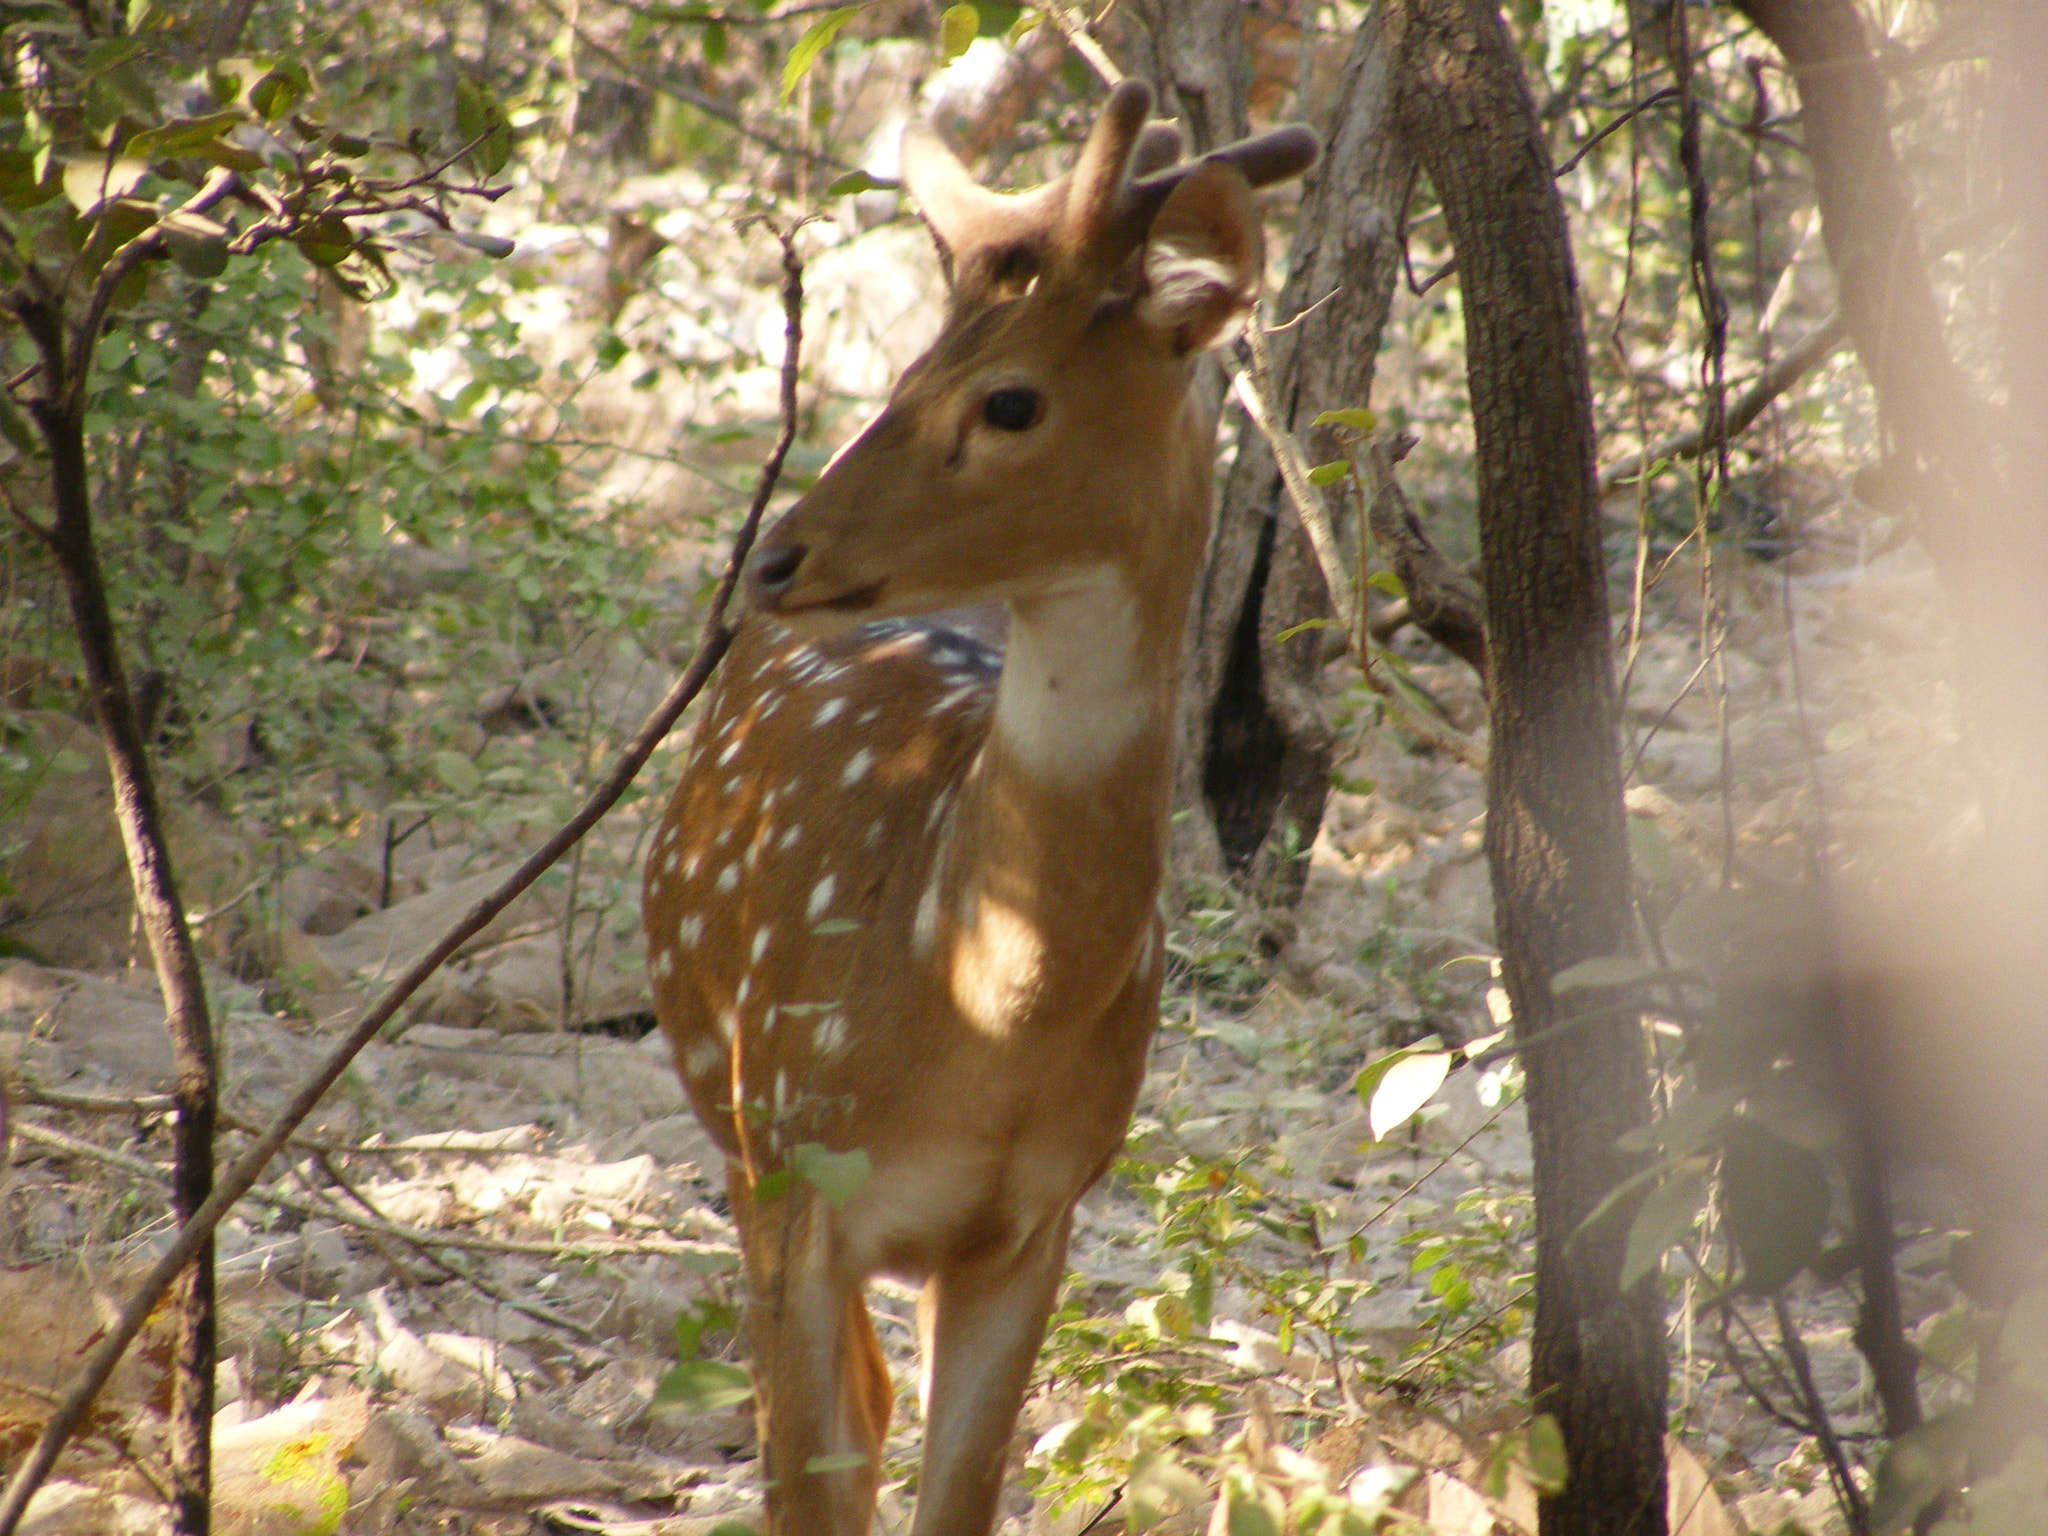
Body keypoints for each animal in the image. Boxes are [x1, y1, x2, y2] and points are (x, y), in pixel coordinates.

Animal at [638, 87, 1310, 1536]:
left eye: (1008, 400)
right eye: (900, 378)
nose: (775, 557)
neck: (979, 997)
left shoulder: (1036, 1216)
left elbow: (952, 1492)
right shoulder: (799, 1163)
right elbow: (812, 1481)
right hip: (733, 1114)